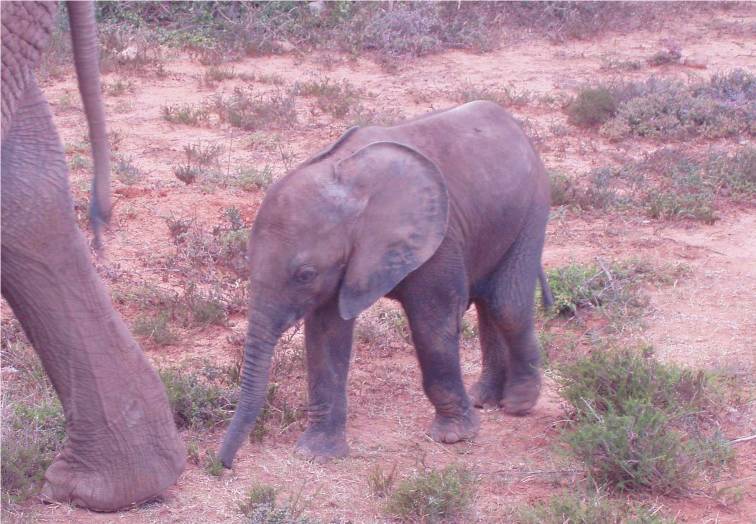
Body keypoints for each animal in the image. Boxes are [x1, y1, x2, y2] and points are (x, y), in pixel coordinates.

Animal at [219, 100, 553, 467]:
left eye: (304, 274)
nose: (223, 464)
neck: (347, 175)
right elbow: (325, 335)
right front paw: (317, 453)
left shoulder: (438, 239)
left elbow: (432, 326)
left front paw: (454, 437)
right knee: (488, 303)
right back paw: (484, 399)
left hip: (534, 204)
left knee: (506, 304)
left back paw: (518, 404)